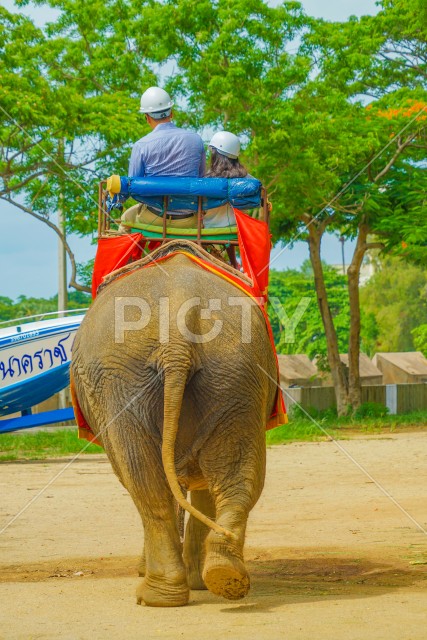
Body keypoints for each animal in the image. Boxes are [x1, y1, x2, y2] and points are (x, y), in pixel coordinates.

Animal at [72, 242, 280, 608]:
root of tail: (178, 328)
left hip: (119, 382)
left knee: (143, 480)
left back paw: (156, 594)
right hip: (236, 370)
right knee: (237, 475)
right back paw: (224, 576)